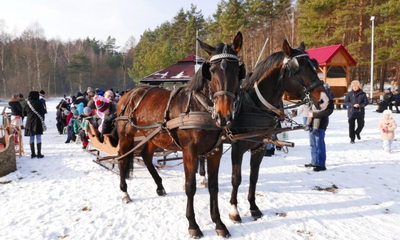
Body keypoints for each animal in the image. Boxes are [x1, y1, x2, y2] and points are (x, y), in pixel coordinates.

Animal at [115, 31, 244, 238]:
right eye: (211, 70)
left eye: (237, 71)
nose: (223, 115)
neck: (200, 107)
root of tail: (131, 92)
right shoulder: (189, 151)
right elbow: (190, 186)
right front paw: (193, 224)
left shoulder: (215, 151)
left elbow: (213, 187)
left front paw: (219, 223)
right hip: (126, 135)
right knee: (121, 159)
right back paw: (125, 193)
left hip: (152, 136)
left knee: (146, 156)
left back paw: (159, 186)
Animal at [227, 39, 330, 223]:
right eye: (298, 69)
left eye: (314, 66)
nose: (324, 100)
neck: (253, 105)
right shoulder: (237, 147)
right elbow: (236, 178)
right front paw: (234, 210)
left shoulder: (260, 148)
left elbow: (254, 177)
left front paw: (253, 208)